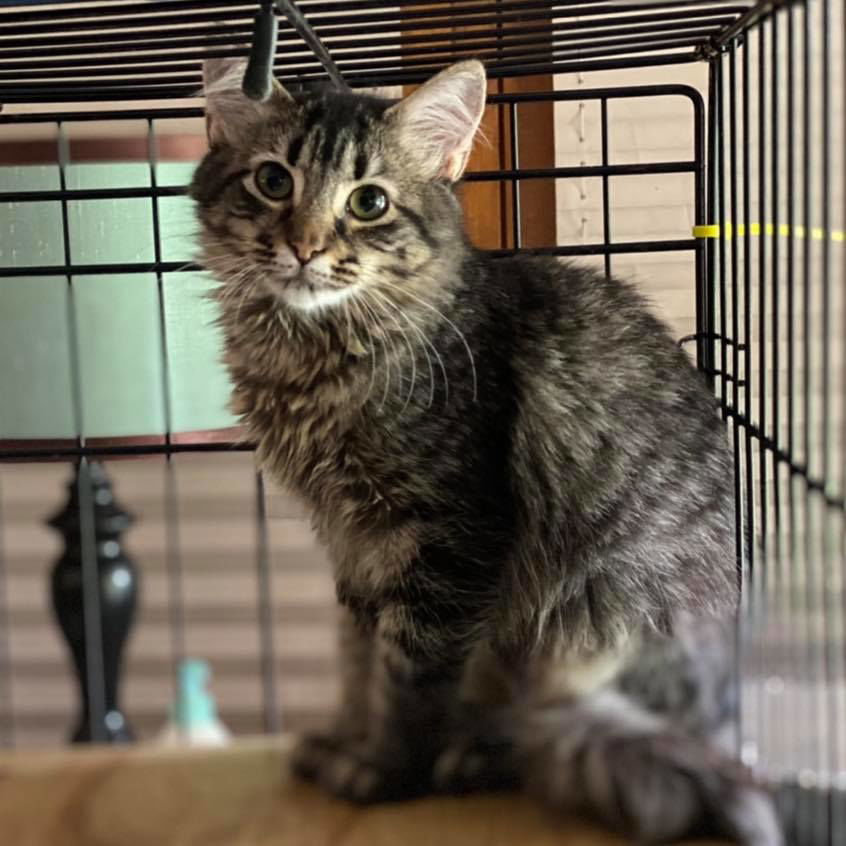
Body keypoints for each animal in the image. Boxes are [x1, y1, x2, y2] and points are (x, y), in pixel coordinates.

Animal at [192, 59, 780, 846]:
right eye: (273, 181)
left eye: (369, 202)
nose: (306, 247)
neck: (312, 356)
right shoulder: (352, 546)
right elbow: (358, 663)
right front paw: (347, 739)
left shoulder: (449, 536)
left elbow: (407, 677)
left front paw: (383, 773)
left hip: (587, 617)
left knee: (542, 730)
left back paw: (471, 759)